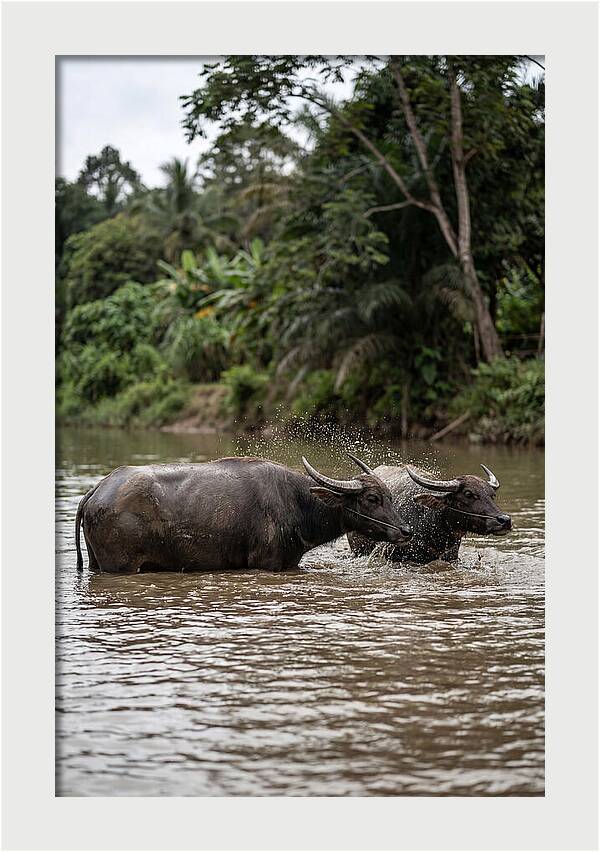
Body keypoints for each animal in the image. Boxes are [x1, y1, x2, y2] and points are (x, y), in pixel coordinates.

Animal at [75, 453, 412, 573]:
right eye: (372, 498)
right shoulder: (266, 562)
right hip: (121, 566)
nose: (405, 530)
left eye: (390, 496)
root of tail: (96, 490)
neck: (296, 503)